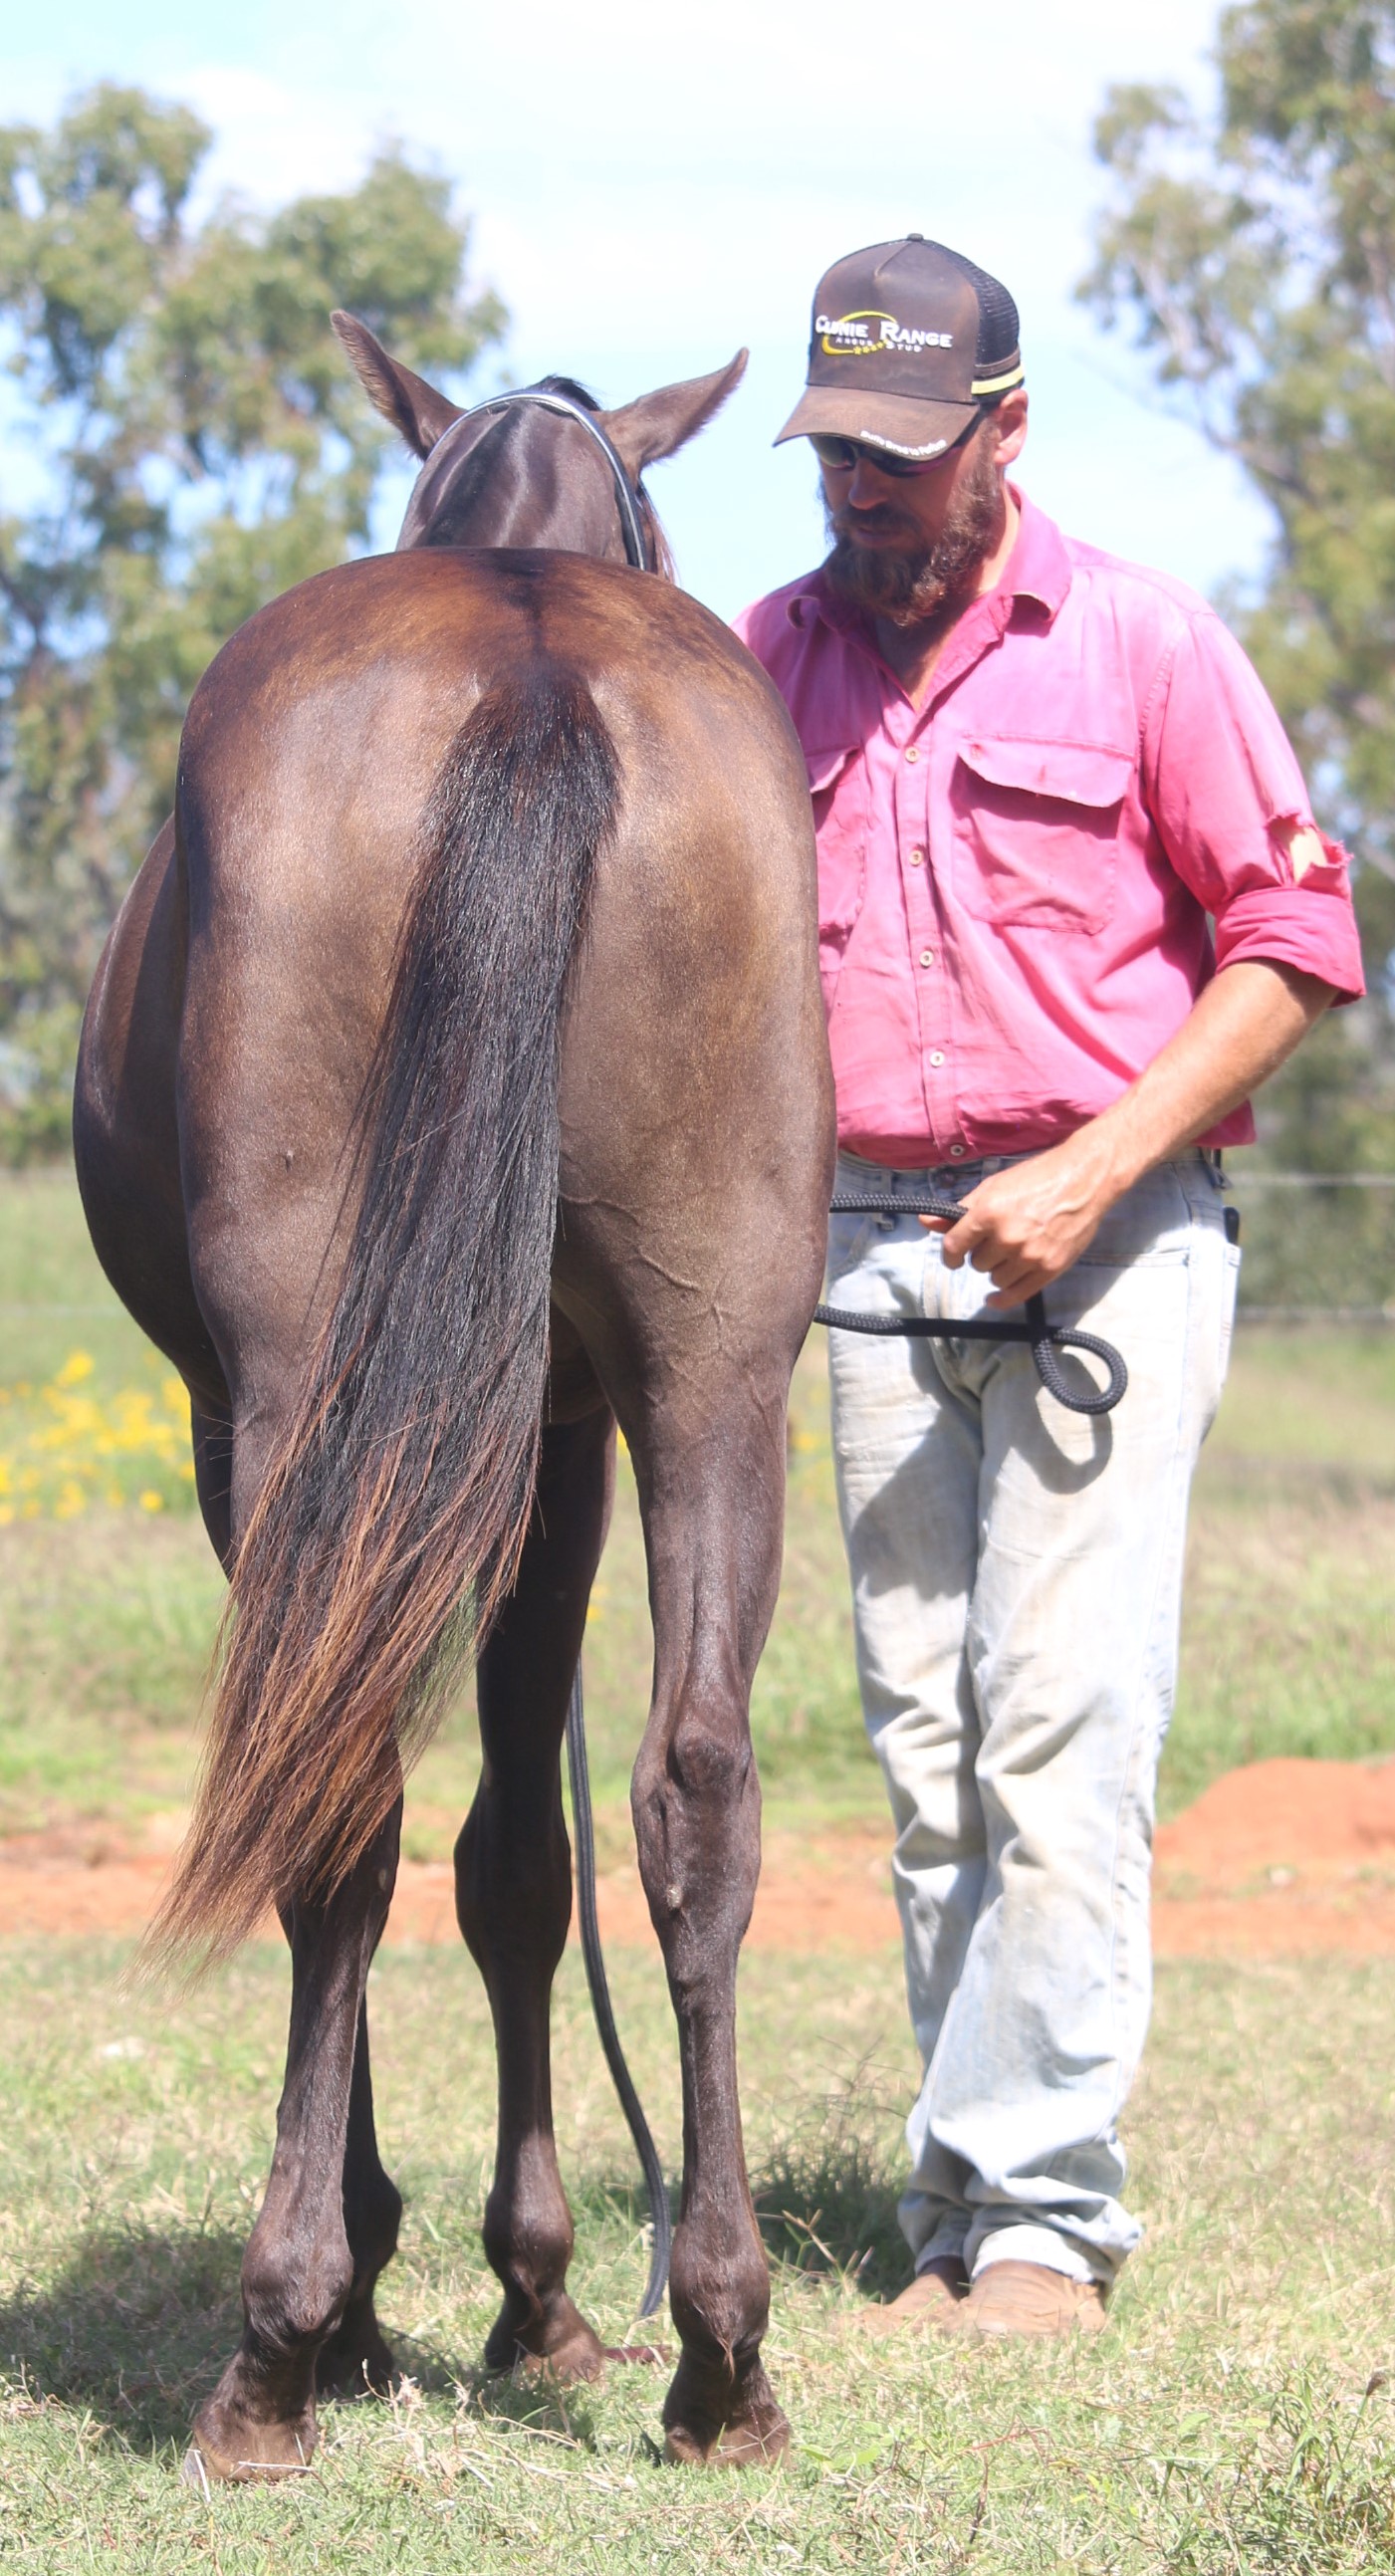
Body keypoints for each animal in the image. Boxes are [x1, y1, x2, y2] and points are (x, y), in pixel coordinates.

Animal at [73, 315, 834, 2480]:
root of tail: (530, 665)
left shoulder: (294, 1434)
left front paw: (427, 2276)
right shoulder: (561, 1432)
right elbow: (521, 1852)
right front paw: (545, 2292)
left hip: (306, 1398)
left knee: (329, 1775)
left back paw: (279, 2342)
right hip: (714, 1368)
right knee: (691, 1787)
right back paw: (719, 2352)